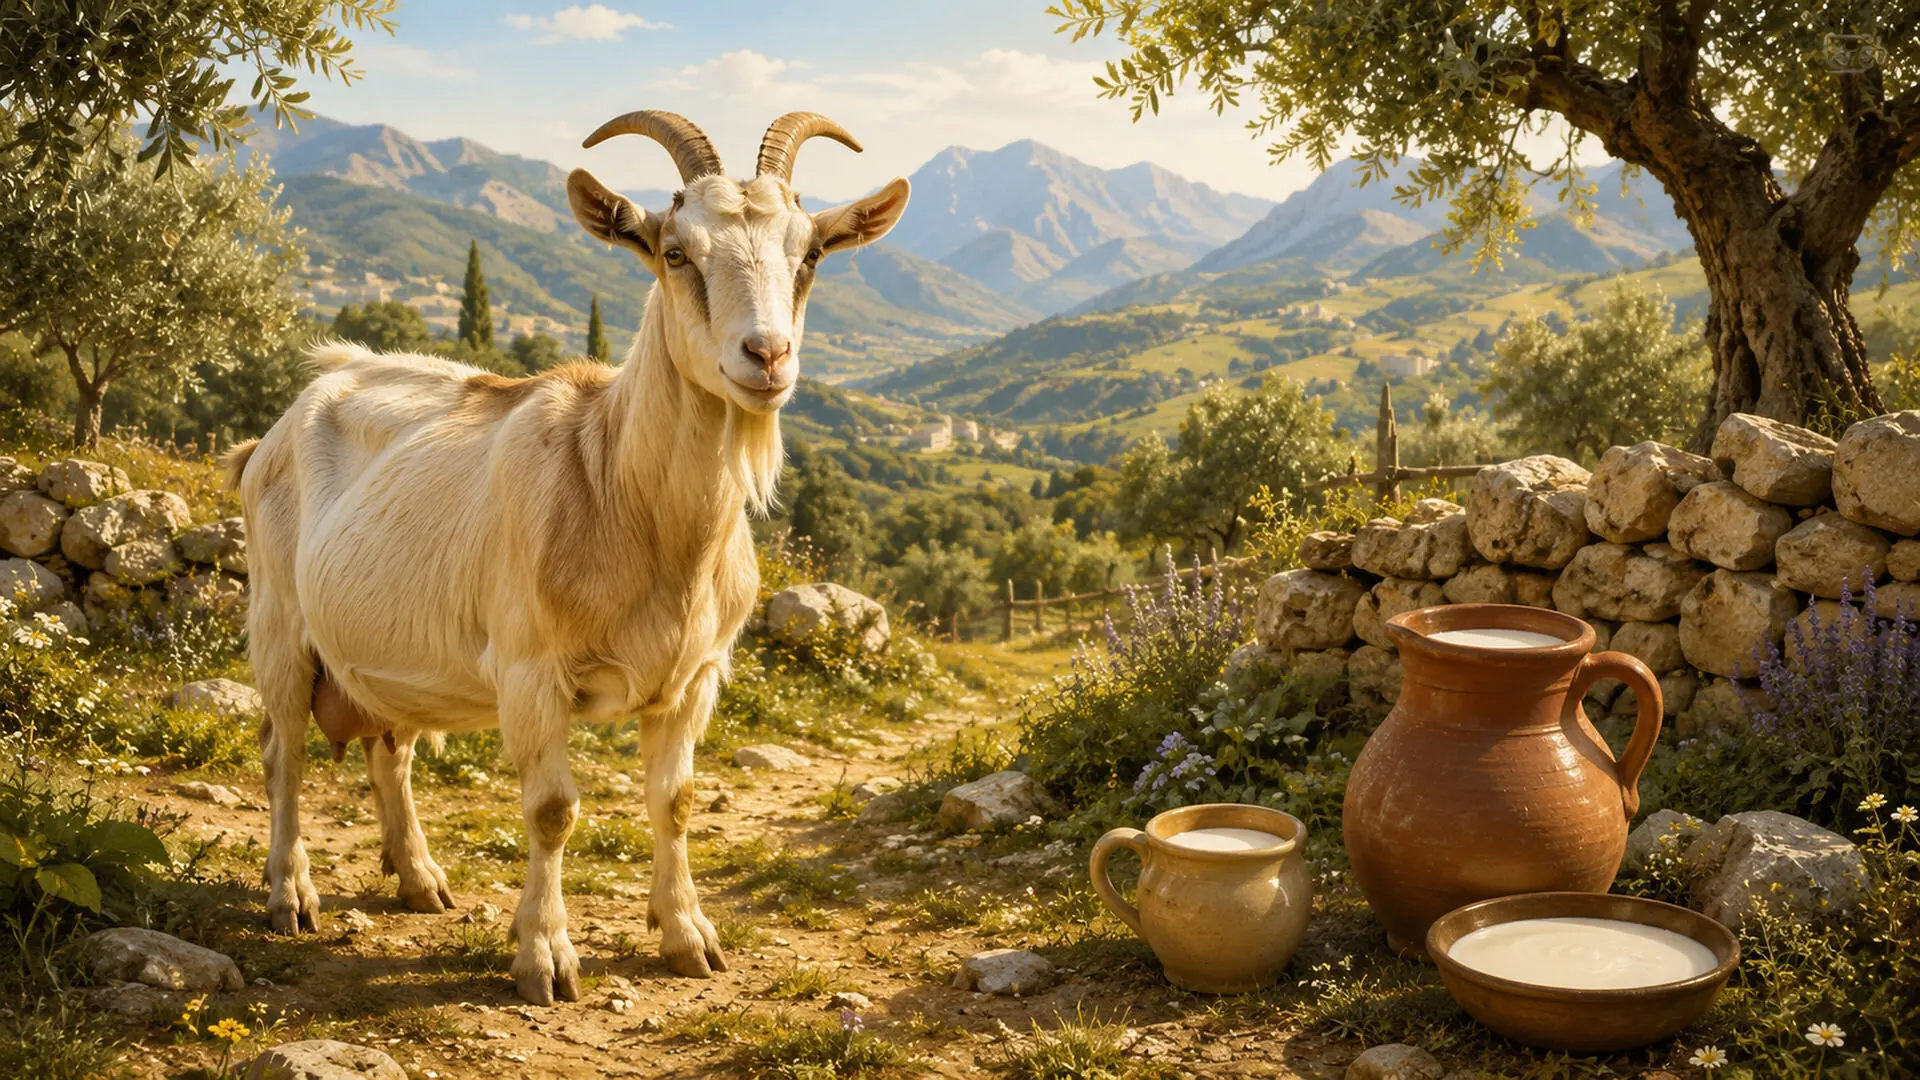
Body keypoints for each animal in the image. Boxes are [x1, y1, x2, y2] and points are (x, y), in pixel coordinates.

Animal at [231, 111, 909, 1004]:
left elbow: (678, 800)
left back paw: (420, 879)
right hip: (280, 624)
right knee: (285, 753)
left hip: (385, 653)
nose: (766, 356)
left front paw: (689, 936)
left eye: (812, 255)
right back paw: (291, 894)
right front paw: (545, 957)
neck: (618, 490)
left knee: (391, 750)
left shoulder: (694, 678)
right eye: (676, 252)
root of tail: (277, 428)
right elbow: (552, 811)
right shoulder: (530, 672)